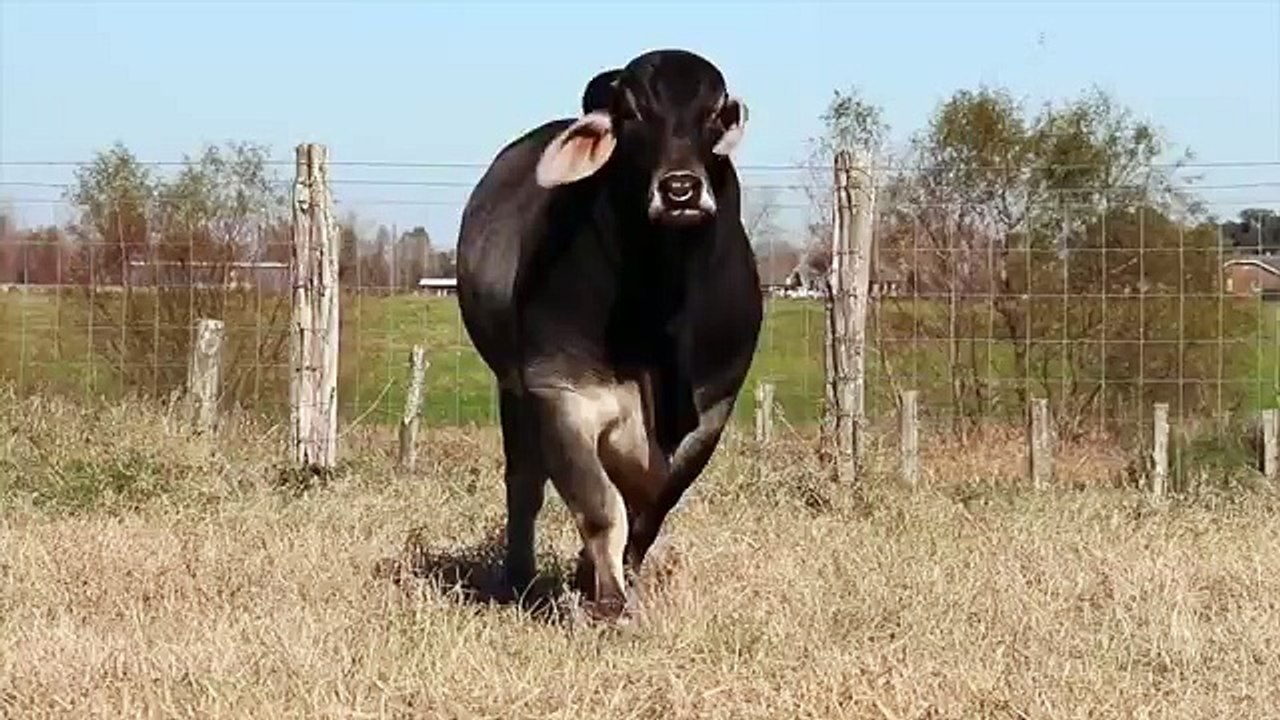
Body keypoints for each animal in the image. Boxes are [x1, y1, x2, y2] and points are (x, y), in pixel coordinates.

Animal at [454, 48, 763, 621]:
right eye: (633, 113)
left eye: (715, 113)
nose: (680, 190)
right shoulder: (560, 394)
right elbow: (599, 508)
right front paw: (611, 605)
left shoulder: (711, 410)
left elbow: (651, 508)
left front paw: (599, 577)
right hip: (514, 391)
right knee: (524, 486)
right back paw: (520, 577)